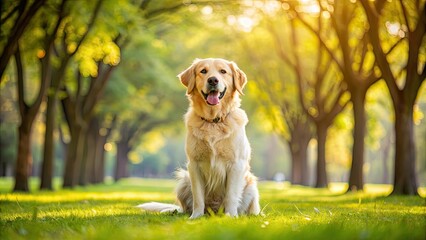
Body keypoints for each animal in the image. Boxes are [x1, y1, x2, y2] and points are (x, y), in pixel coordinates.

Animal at [138, 58, 262, 219]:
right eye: (203, 71)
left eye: (223, 71)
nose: (213, 80)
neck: (213, 121)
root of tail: (213, 212)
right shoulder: (194, 164)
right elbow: (198, 197)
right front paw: (196, 217)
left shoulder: (236, 164)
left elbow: (231, 195)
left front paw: (230, 216)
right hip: (184, 180)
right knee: (183, 208)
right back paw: (174, 211)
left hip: (251, 185)